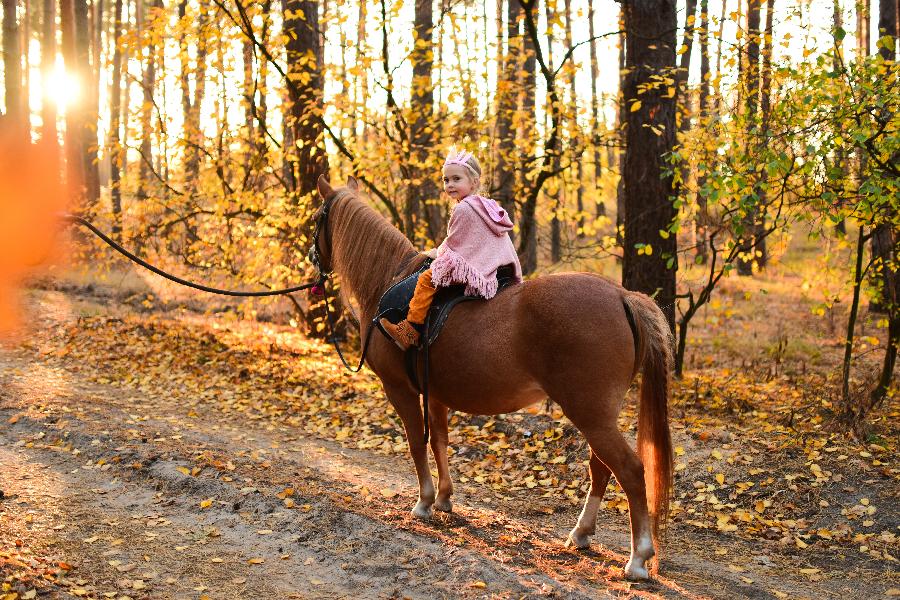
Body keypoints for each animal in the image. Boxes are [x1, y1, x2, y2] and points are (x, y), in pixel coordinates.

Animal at [312, 176, 672, 580]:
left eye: (317, 218)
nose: (312, 258)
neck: (387, 281)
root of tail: (622, 296)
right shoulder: (435, 393)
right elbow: (440, 442)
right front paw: (444, 498)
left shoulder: (400, 389)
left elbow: (417, 443)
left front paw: (424, 502)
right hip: (599, 416)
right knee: (601, 468)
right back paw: (581, 533)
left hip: (591, 414)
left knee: (630, 470)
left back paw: (638, 558)